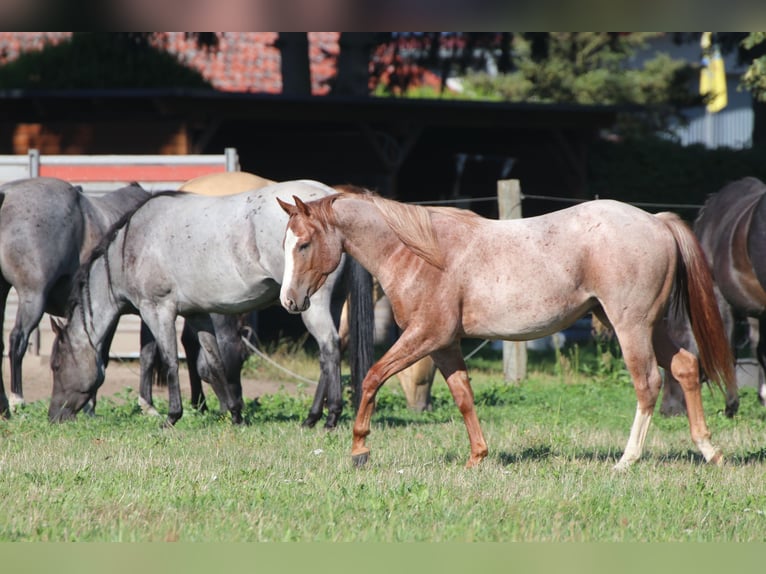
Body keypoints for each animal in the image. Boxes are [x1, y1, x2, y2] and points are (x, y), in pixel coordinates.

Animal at [48, 179, 351, 429]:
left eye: (57, 366)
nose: (54, 416)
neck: (131, 245)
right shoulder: (198, 314)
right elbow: (214, 362)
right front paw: (235, 414)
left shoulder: (157, 311)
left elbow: (170, 361)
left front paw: (172, 416)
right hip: (333, 304)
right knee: (328, 354)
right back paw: (313, 417)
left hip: (311, 305)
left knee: (329, 349)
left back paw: (328, 417)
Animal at [277, 188, 739, 470]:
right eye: (285, 243)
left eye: (304, 244)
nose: (289, 301)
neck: (418, 253)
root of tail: (656, 222)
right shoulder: (443, 345)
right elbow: (464, 397)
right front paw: (478, 457)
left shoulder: (424, 337)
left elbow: (372, 378)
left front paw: (359, 449)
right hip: (646, 325)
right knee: (685, 367)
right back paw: (710, 450)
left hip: (631, 326)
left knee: (648, 384)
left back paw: (627, 459)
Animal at [661, 177, 766, 415]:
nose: (667, 410)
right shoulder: (755, 309)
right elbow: (758, 348)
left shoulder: (719, 298)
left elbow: (728, 349)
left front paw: (731, 406)